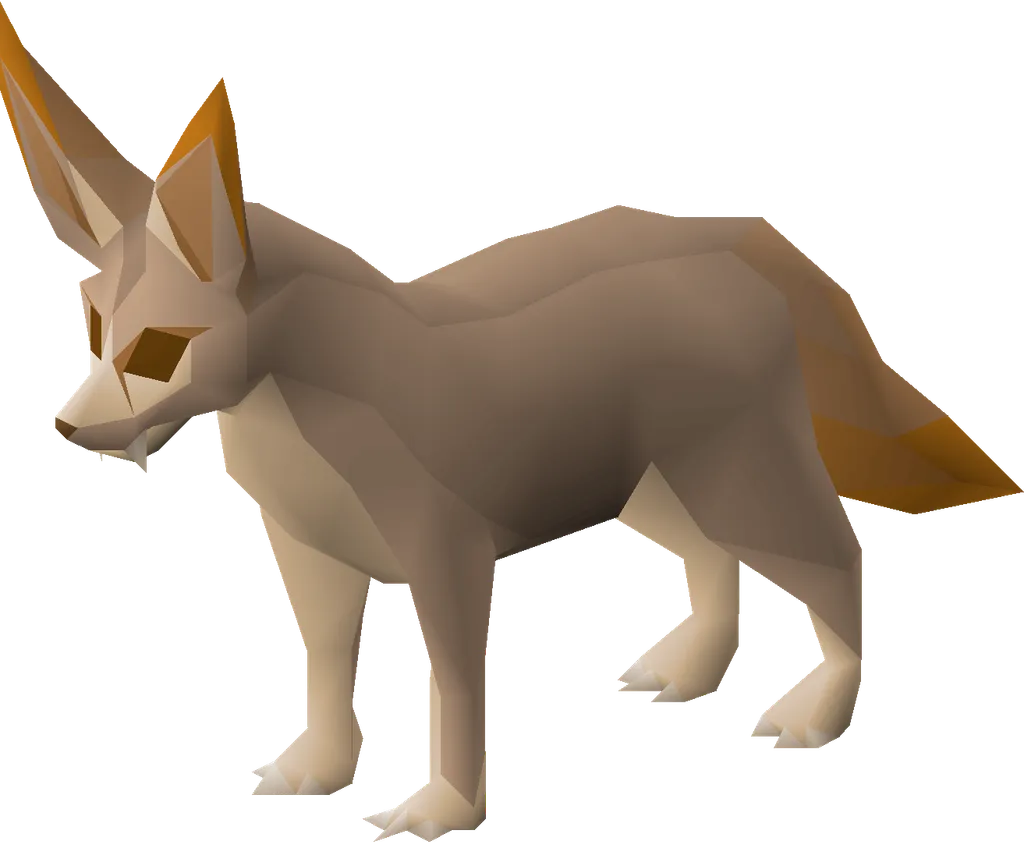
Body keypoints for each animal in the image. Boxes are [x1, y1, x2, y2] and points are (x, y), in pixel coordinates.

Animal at [4, 5, 1021, 838]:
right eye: (91, 330)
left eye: (157, 350)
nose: (64, 429)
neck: (295, 409)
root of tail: (737, 231)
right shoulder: (309, 559)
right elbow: (325, 672)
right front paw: (320, 769)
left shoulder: (447, 557)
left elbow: (452, 690)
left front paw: (444, 808)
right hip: (648, 478)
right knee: (715, 562)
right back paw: (689, 670)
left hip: (734, 471)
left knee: (836, 555)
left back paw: (819, 711)